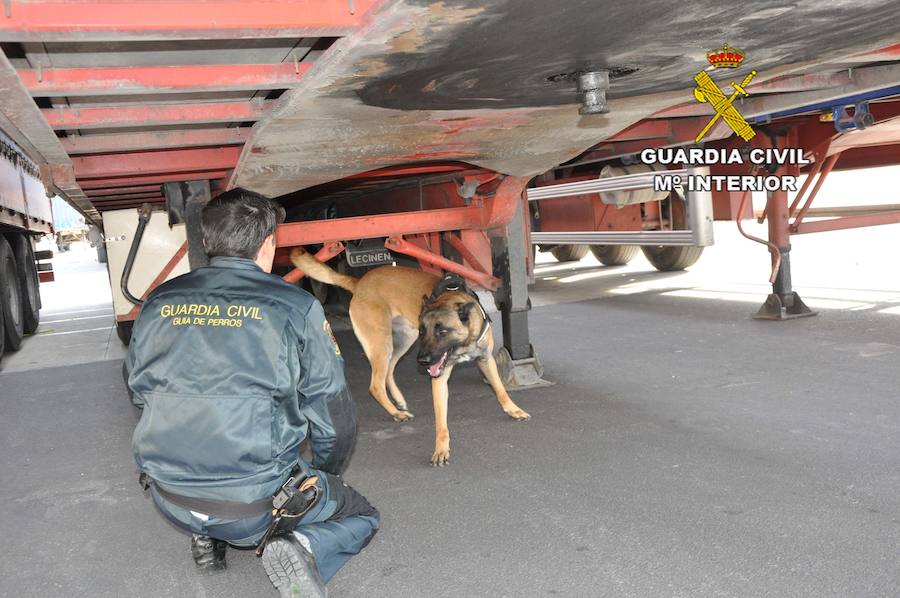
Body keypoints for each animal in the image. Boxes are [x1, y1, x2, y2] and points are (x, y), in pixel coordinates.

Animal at [288, 248, 532, 468]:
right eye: (425, 331)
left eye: (442, 331)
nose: (423, 362)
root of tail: (359, 283)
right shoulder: (439, 377)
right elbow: (441, 422)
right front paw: (441, 449)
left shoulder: (485, 359)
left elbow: (500, 389)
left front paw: (513, 409)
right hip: (384, 343)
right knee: (375, 384)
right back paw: (396, 412)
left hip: (403, 341)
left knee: (388, 371)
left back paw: (398, 401)